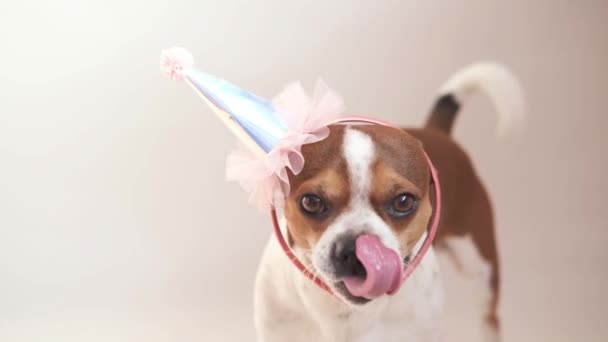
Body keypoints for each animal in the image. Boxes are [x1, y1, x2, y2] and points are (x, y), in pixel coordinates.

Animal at [254, 62, 524, 340]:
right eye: (311, 202)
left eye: (403, 201)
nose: (354, 250)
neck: (347, 316)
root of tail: (435, 131)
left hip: (480, 267)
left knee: (489, 318)